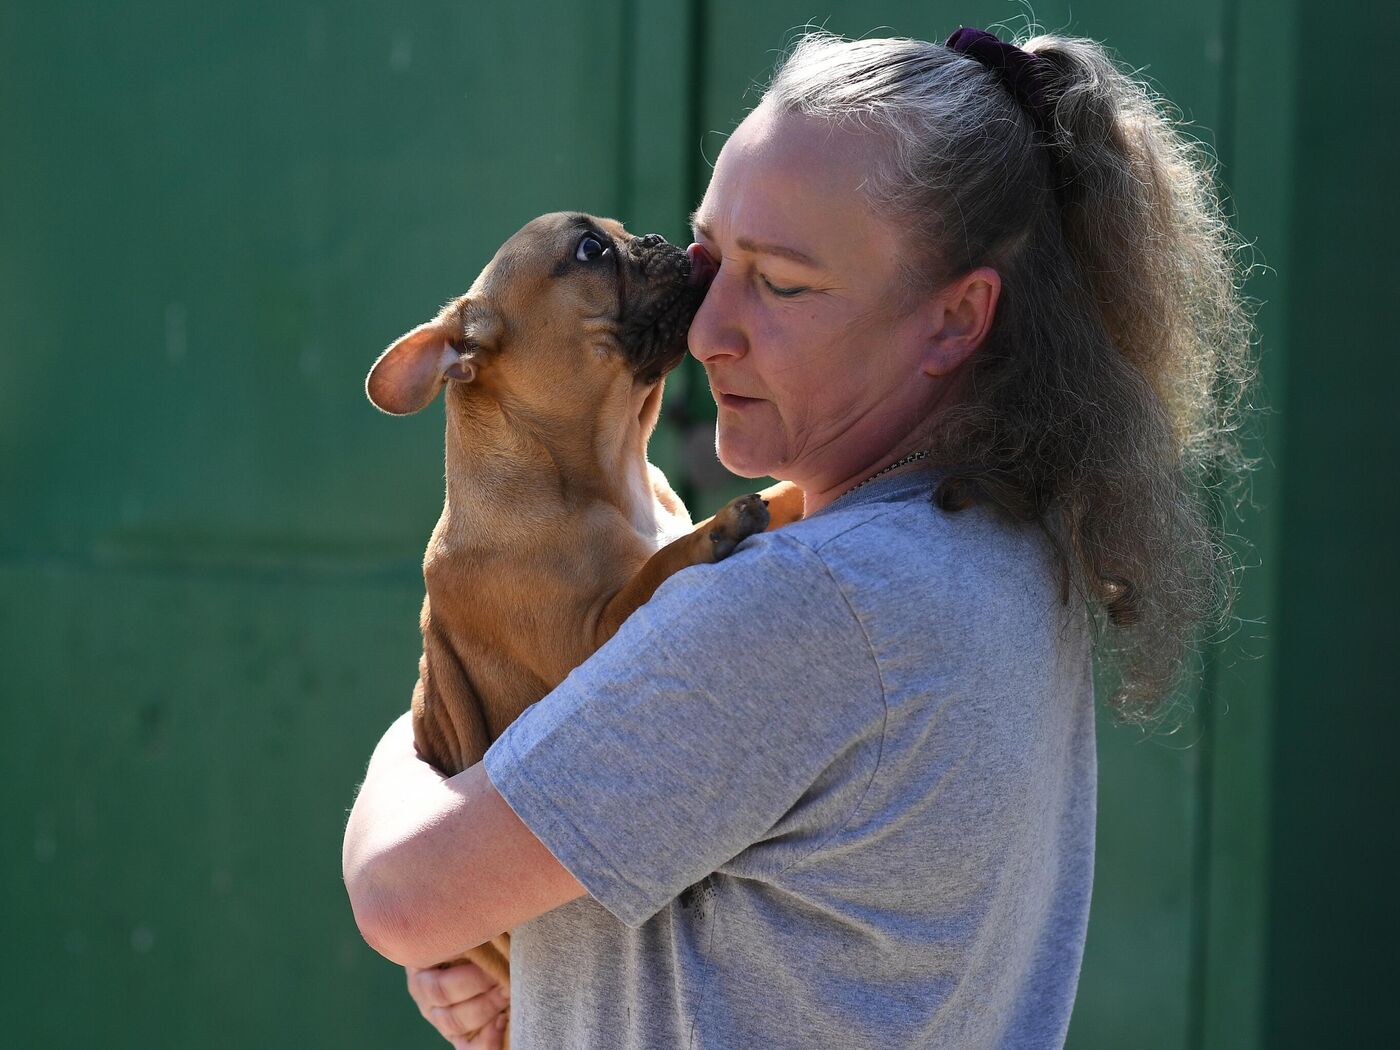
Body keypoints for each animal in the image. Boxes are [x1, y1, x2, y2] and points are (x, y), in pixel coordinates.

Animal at [369, 211, 812, 1047]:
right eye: (589, 251)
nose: (661, 239)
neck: (603, 473)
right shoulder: (588, 643)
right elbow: (653, 569)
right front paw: (713, 530)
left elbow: (765, 502)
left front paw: (793, 492)